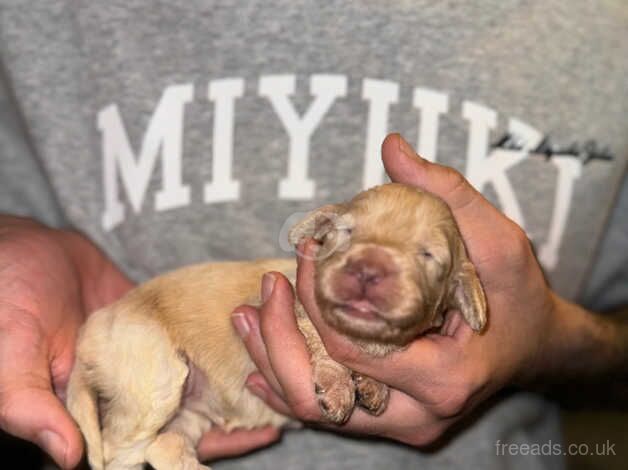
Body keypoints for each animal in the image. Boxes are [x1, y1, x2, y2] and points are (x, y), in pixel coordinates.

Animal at [66, 183, 488, 470]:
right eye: (347, 232)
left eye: (428, 255)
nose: (367, 269)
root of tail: (86, 338)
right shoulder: (302, 311)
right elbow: (324, 347)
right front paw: (340, 388)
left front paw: (373, 384)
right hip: (155, 379)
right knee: (120, 453)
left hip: (188, 410)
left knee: (162, 447)